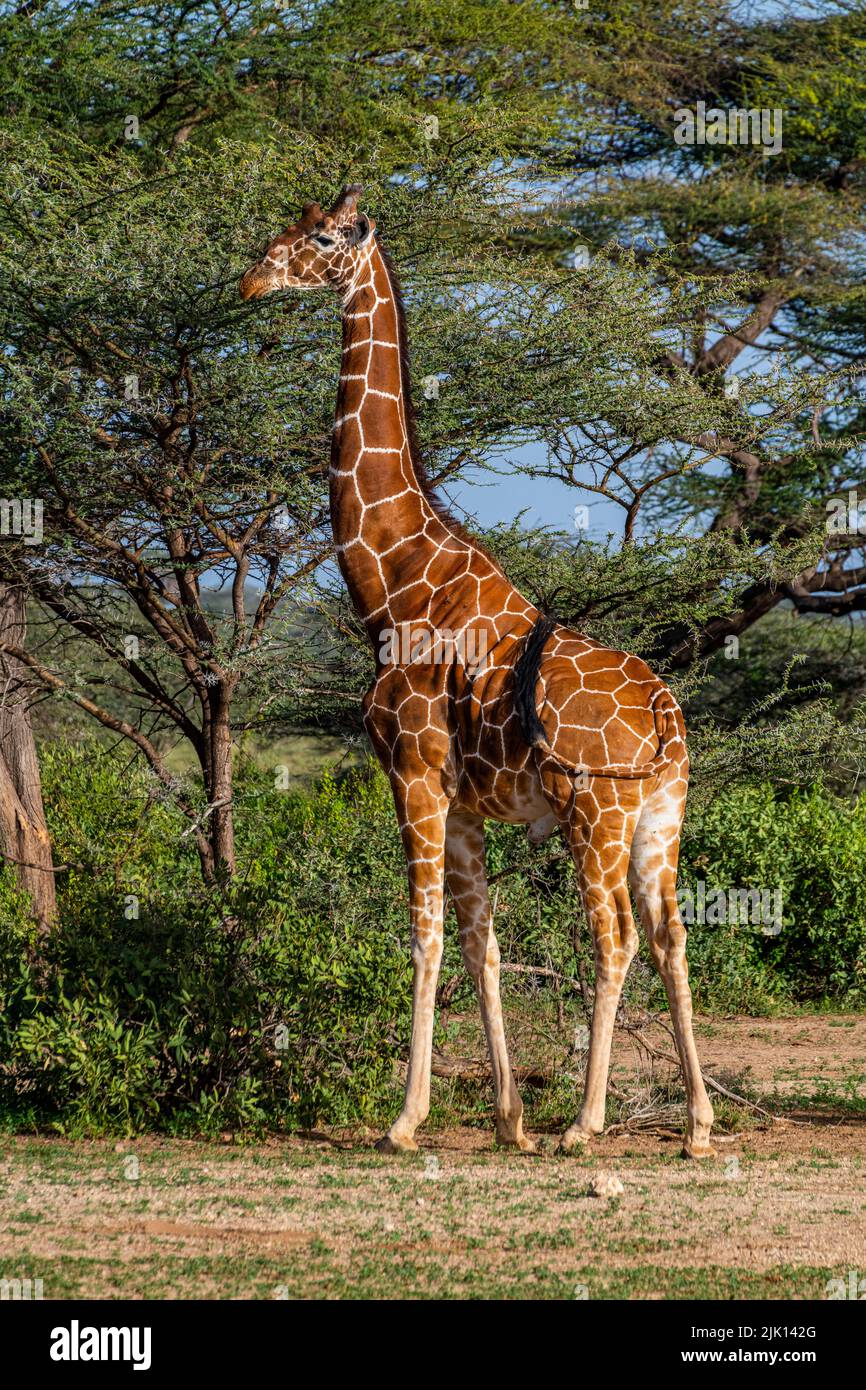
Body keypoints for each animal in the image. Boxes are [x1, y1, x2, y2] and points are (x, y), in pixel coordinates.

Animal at [240, 187, 717, 1162]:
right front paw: (507, 1119)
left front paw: (406, 1119)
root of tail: (665, 714)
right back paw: (695, 1125)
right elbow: (480, 943)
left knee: (614, 938)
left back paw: (585, 1123)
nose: (252, 277)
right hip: (661, 815)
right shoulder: (462, 802)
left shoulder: (414, 776)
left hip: (596, 814)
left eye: (321, 236)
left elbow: (423, 937)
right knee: (671, 934)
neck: (391, 578)